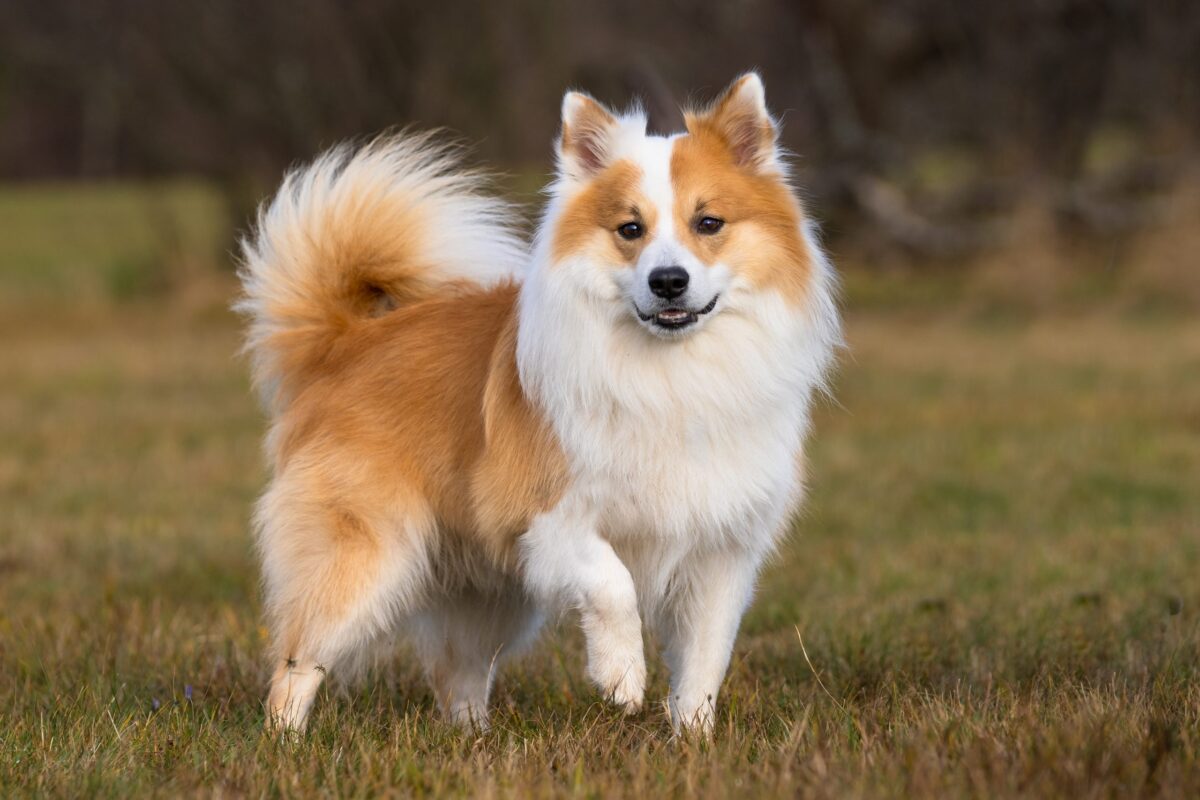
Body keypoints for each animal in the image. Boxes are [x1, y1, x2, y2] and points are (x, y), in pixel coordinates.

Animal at [238, 71, 840, 734]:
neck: (670, 371)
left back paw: (473, 739)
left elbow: (705, 662)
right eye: (630, 230)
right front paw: (621, 677)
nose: (668, 281)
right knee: (298, 662)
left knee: (456, 673)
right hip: (365, 557)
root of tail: (345, 342)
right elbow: (613, 583)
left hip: (482, 593)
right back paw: (286, 741)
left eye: (708, 223)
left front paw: (693, 739)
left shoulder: (720, 552)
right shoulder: (544, 515)